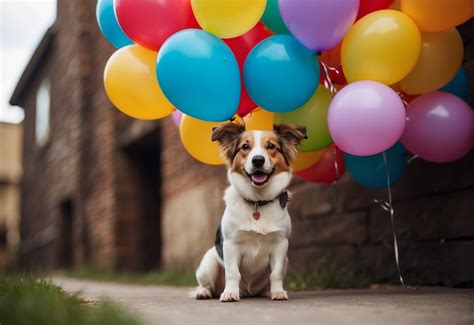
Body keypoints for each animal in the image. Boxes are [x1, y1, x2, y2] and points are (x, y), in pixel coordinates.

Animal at [193, 122, 308, 302]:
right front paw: (230, 293)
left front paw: (278, 292)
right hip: (209, 261)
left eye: (271, 146)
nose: (258, 160)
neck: (257, 202)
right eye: (245, 147)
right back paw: (204, 292)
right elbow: (233, 273)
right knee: (208, 284)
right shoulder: (231, 244)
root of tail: (249, 291)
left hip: (285, 261)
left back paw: (267, 291)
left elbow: (275, 274)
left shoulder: (281, 245)